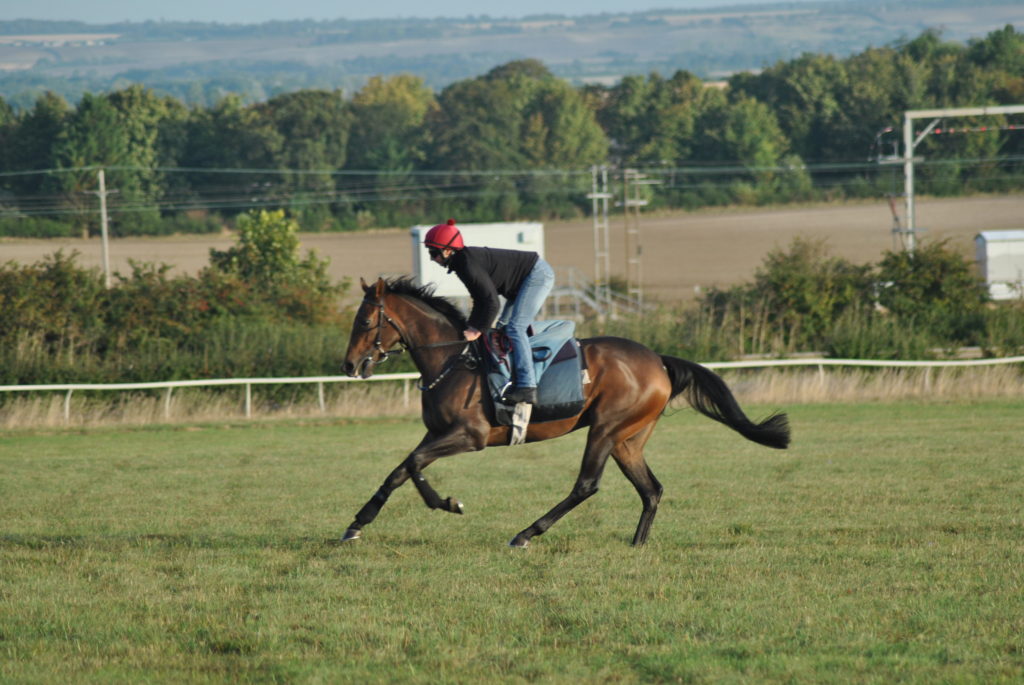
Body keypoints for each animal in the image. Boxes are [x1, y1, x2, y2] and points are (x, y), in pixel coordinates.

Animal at [339, 274, 786, 548]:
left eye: (365, 321)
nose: (348, 364)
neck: (451, 360)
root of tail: (658, 360)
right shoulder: (437, 433)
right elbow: (402, 468)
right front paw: (357, 523)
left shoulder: (471, 436)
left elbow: (414, 465)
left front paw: (447, 503)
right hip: (628, 439)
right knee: (651, 489)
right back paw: (638, 543)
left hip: (605, 429)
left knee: (587, 485)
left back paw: (526, 534)